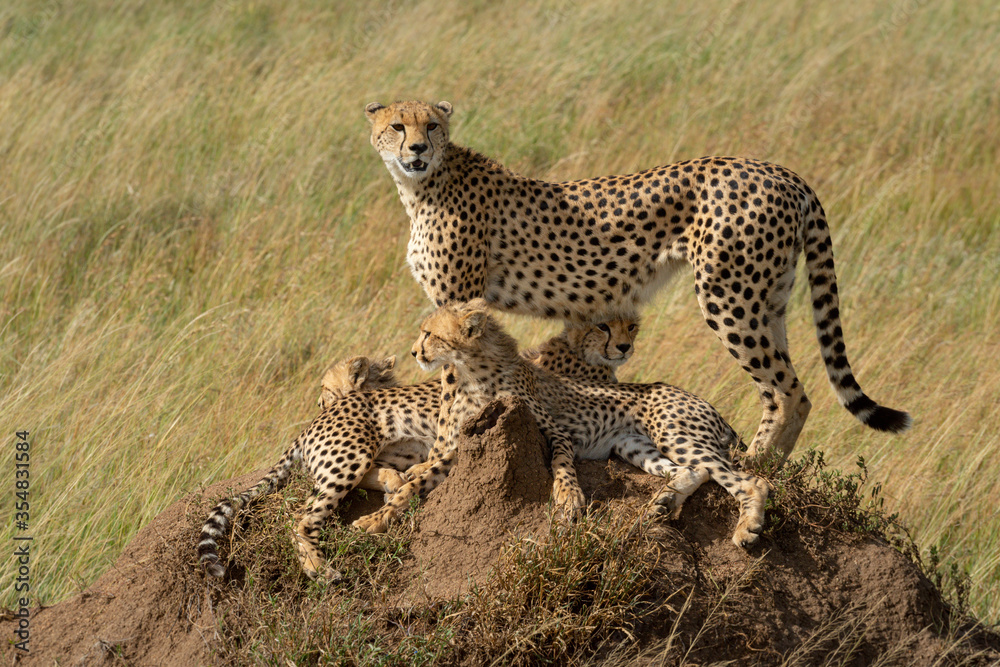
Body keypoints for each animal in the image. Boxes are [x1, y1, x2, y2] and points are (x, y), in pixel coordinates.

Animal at [352, 300, 770, 549]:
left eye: (430, 334)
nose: (414, 352)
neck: (472, 372)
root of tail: (703, 400)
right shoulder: (468, 443)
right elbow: (416, 483)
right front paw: (377, 518)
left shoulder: (555, 431)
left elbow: (562, 464)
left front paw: (568, 499)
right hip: (634, 445)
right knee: (692, 470)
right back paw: (665, 502)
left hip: (675, 433)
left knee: (750, 480)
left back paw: (746, 528)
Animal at [365, 100, 912, 465]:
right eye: (397, 125)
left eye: (432, 125)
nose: (417, 148)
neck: (422, 185)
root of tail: (779, 170)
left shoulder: (459, 302)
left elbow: (450, 384)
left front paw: (444, 447)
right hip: (768, 297)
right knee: (788, 386)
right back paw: (770, 468)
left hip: (728, 296)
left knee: (788, 391)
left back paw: (753, 468)